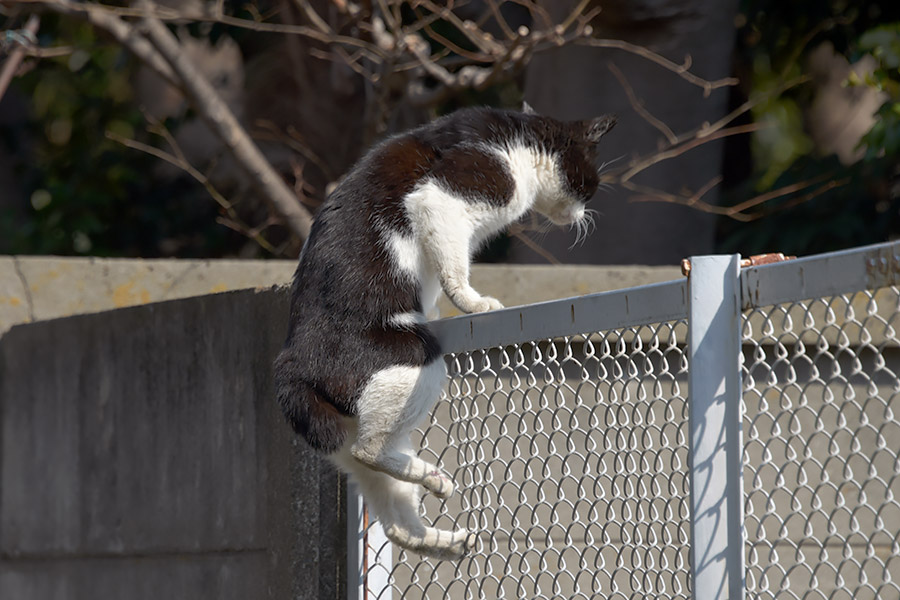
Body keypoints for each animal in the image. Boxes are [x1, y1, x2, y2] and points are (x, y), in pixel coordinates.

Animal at [270, 102, 616, 556]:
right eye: (590, 183)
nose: (583, 216)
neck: (517, 139)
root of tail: (292, 364)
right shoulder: (450, 192)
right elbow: (454, 268)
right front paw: (474, 302)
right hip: (416, 358)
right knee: (369, 450)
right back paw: (433, 481)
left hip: (346, 431)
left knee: (394, 521)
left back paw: (442, 536)